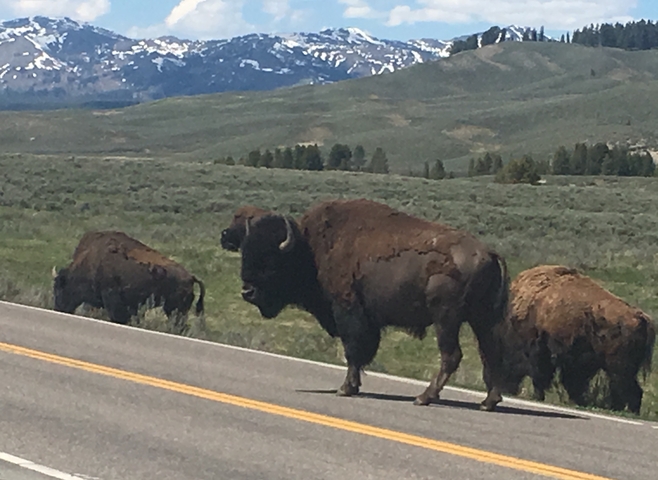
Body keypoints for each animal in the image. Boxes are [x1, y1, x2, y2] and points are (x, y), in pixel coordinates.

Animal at [239, 199, 511, 411]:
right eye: (245, 253)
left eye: (270, 261)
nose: (247, 292)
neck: (309, 249)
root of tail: (489, 253)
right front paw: (353, 386)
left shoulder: (348, 310)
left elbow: (352, 350)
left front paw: (346, 388)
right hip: (481, 319)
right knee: (491, 353)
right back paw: (488, 402)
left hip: (446, 319)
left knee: (451, 355)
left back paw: (424, 397)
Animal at [502, 265, 655, 414]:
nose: (506, 389)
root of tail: (641, 317)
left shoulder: (540, 352)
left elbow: (541, 376)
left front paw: (538, 396)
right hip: (619, 368)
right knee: (623, 389)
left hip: (619, 367)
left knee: (628, 388)